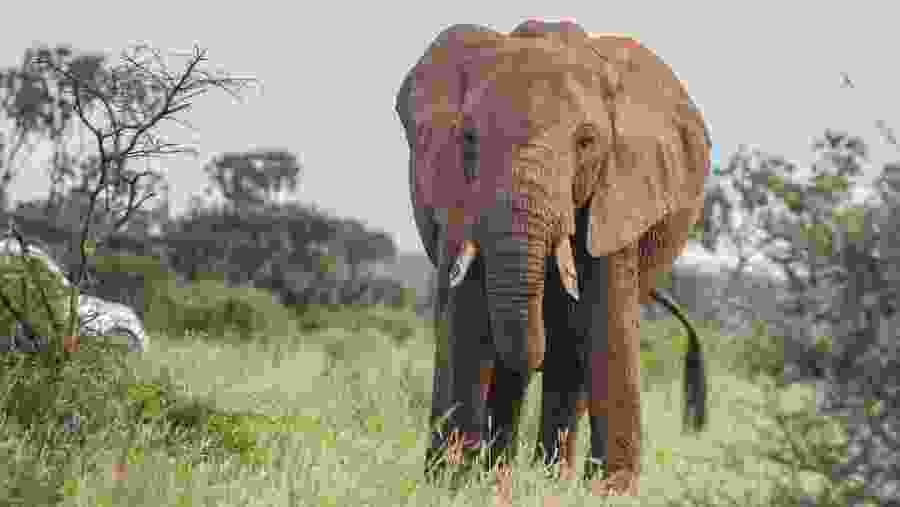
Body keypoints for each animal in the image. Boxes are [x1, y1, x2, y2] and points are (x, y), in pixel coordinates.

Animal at [395, 19, 712, 496]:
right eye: (468, 139)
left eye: (586, 141)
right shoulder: (457, 198)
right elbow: (466, 319)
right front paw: (454, 484)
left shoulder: (617, 193)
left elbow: (606, 325)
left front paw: (610, 493)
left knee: (569, 363)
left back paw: (548, 478)